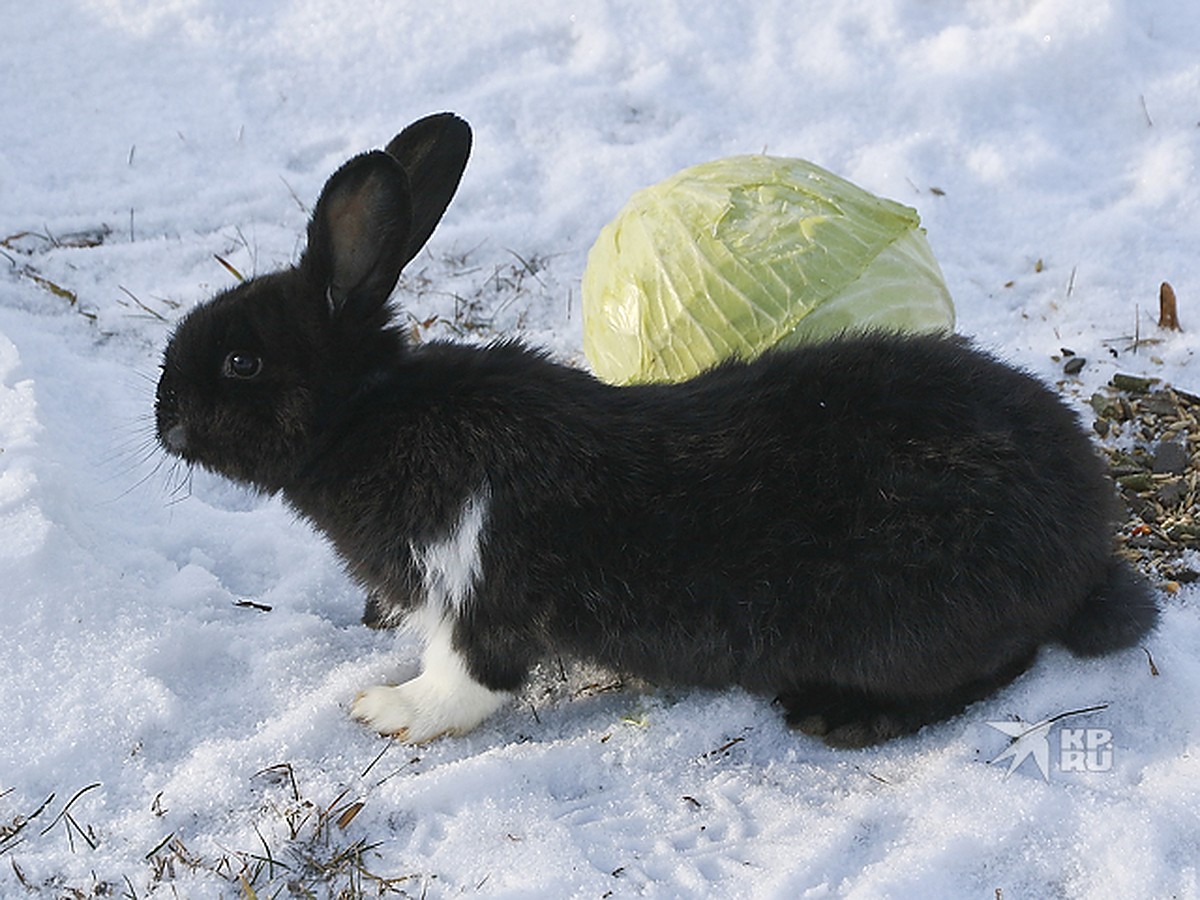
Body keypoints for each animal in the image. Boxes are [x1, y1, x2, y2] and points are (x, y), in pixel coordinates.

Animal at [154, 111, 1156, 748]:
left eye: (240, 362)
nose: (162, 419)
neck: (369, 414)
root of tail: (1087, 533)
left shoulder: (478, 589)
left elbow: (466, 681)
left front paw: (385, 711)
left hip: (913, 620)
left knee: (997, 665)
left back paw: (839, 717)